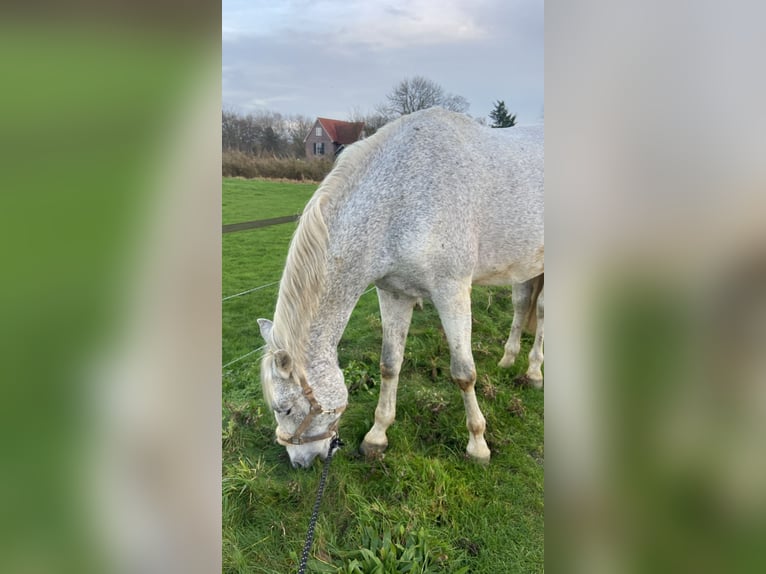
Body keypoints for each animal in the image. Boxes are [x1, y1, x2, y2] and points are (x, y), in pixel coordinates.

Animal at [258, 107, 543, 468]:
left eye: (285, 408)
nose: (299, 462)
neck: (402, 197)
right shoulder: (394, 293)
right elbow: (389, 365)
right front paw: (376, 437)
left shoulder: (452, 293)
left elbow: (464, 373)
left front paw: (478, 445)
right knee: (522, 306)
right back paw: (509, 360)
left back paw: (534, 372)